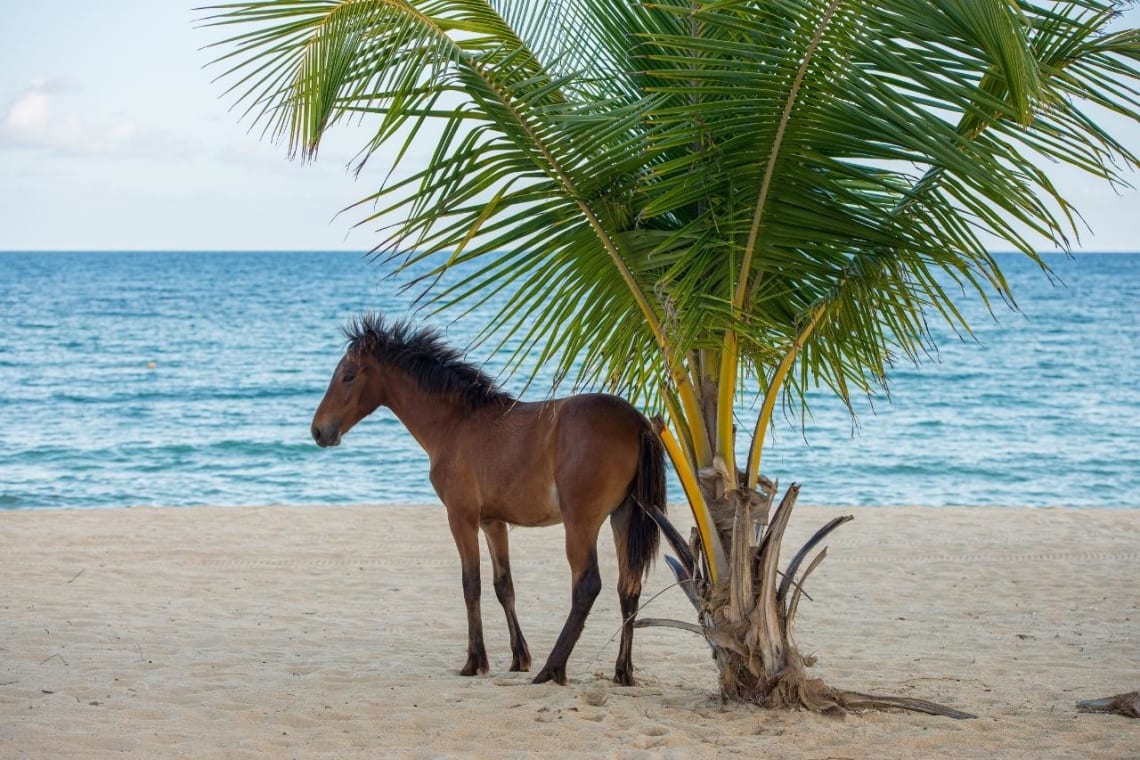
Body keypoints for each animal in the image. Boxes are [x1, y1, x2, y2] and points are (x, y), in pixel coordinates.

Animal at [310, 314, 667, 686]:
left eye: (348, 376)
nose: (319, 431)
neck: (456, 424)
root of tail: (637, 422)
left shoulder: (461, 517)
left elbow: (472, 584)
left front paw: (474, 661)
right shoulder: (493, 522)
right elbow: (503, 586)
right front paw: (519, 657)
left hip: (581, 523)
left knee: (587, 586)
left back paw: (552, 669)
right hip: (624, 515)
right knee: (629, 588)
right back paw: (622, 671)